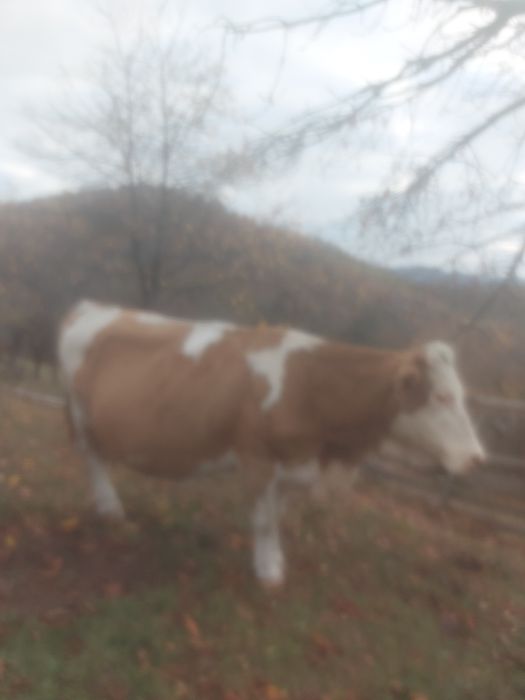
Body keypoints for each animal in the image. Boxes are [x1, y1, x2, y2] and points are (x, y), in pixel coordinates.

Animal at [58, 300, 485, 587]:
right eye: (442, 396)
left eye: (462, 394)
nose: (478, 459)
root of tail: (94, 306)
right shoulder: (257, 458)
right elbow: (263, 520)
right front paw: (267, 574)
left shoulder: (295, 464)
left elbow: (276, 516)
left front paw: (275, 562)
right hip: (79, 414)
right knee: (92, 459)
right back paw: (110, 508)